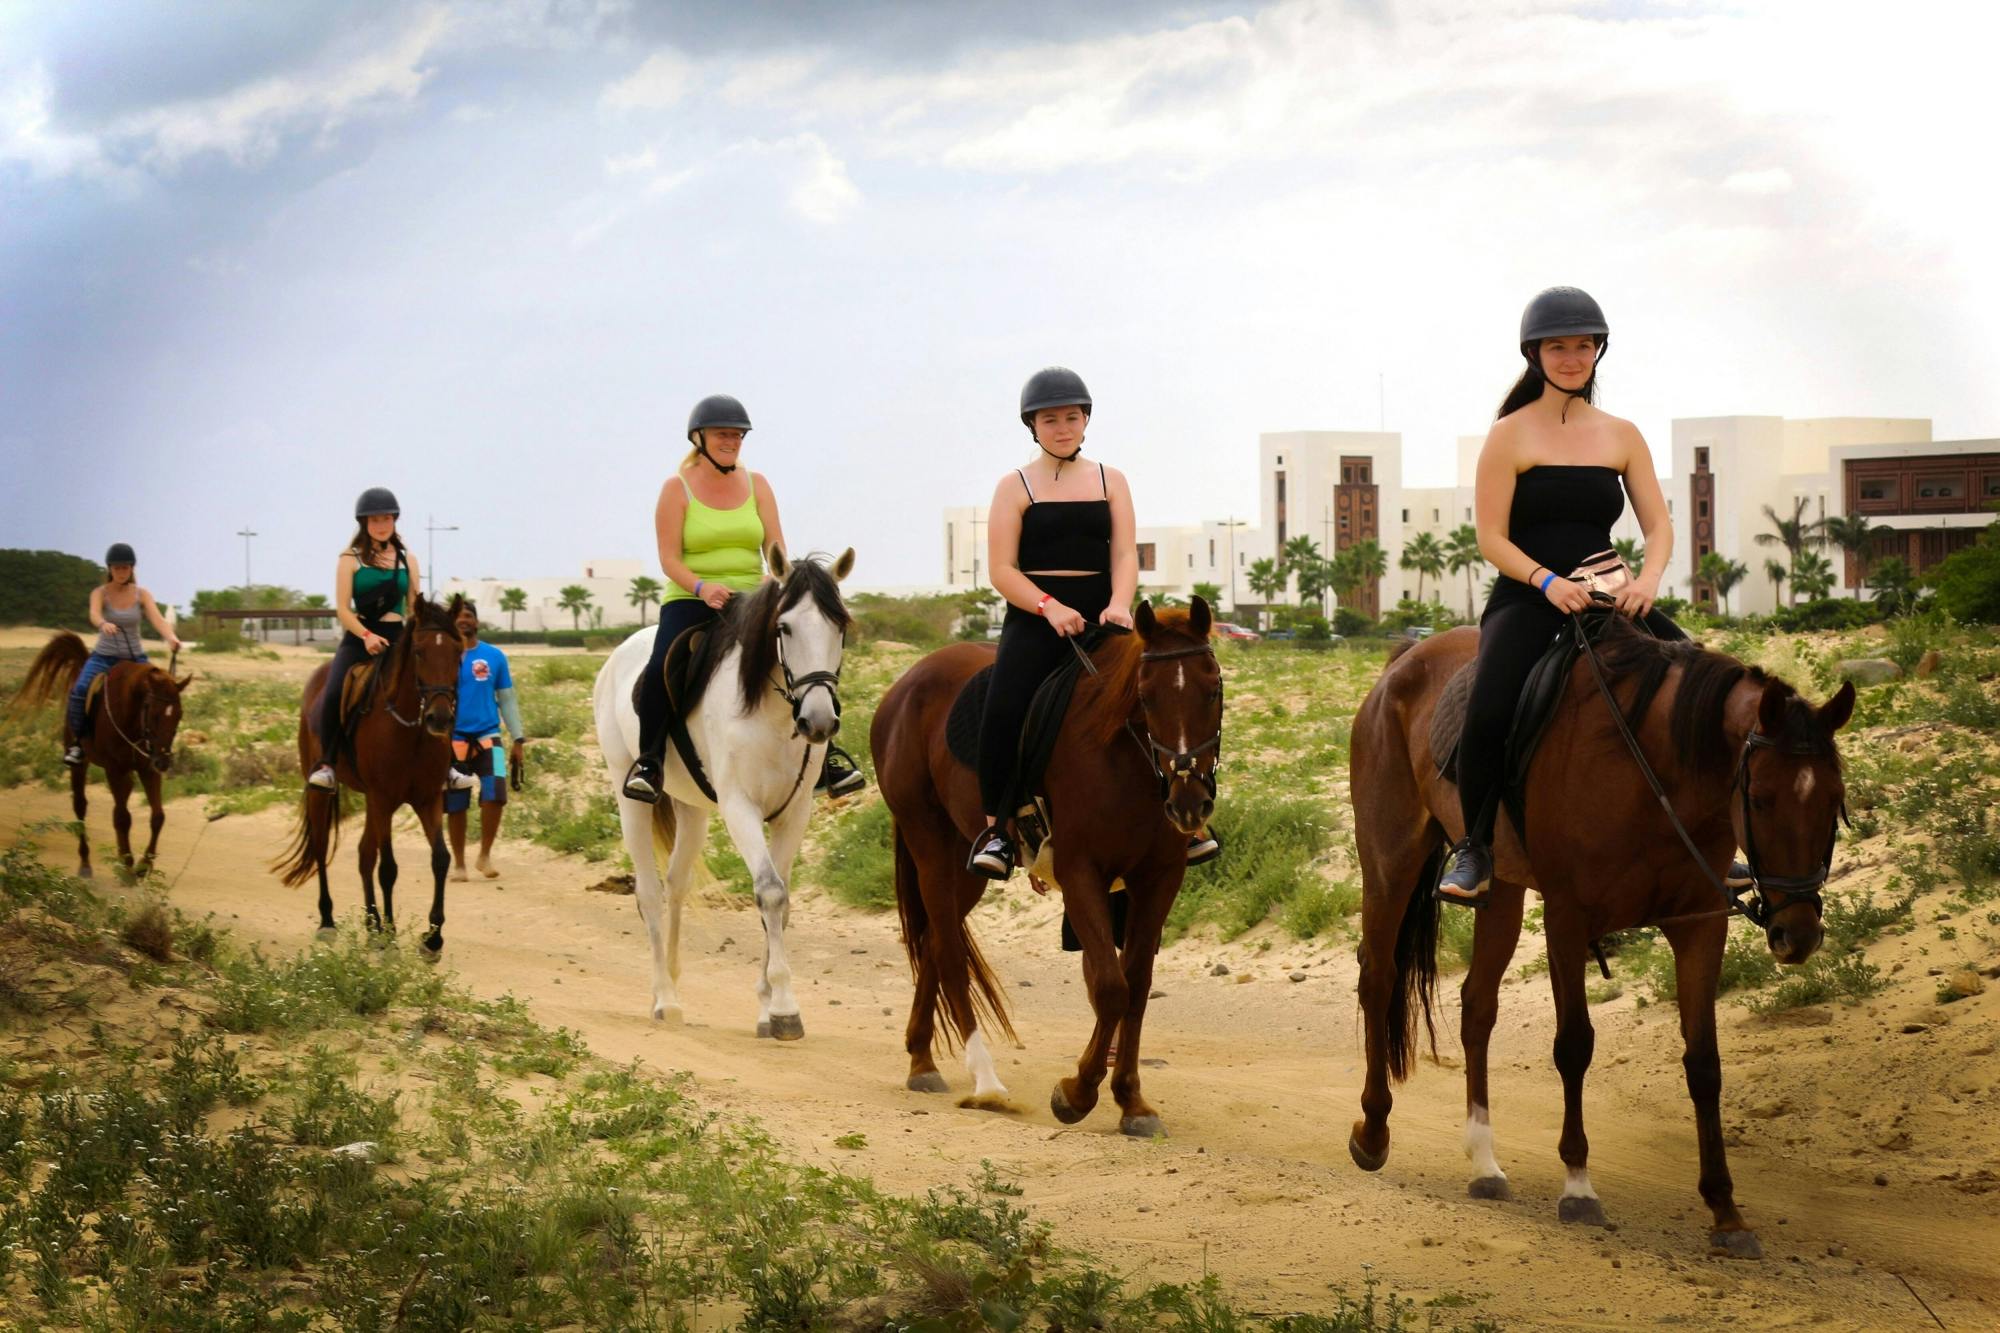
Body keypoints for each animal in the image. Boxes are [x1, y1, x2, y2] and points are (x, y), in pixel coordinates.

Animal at [10, 632, 193, 872]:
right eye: (153, 713)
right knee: (81, 806)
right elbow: (123, 818)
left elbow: (157, 816)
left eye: (179, 714)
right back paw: (86, 863)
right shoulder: (114, 769)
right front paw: (128, 867)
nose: (163, 762)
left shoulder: (147, 769)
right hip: (81, 765)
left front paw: (143, 865)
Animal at [274, 592, 464, 956]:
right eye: (419, 652)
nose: (439, 719)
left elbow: (440, 859)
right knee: (322, 848)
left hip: (375, 805)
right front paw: (391, 937)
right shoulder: (383, 798)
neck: (410, 730)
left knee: (364, 854)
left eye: (458, 653)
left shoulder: (427, 799)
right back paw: (329, 921)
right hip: (327, 792)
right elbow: (388, 868)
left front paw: (432, 938)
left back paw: (371, 925)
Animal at [584, 544, 852, 1032]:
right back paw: (664, 999)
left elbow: (782, 899)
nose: (819, 722)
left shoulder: (795, 811)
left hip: (691, 809)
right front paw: (784, 1008)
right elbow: (770, 891)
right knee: (648, 892)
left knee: (676, 884)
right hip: (628, 793)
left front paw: (768, 1006)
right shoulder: (739, 807)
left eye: (839, 626)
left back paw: (673, 982)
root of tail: (619, 654)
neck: (770, 713)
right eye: (784, 627)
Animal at [872, 596, 1216, 1128]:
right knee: (947, 950)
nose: (1189, 803)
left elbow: (1137, 986)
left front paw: (1131, 1100)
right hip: (928, 841)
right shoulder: (1081, 873)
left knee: (934, 940)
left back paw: (922, 1060)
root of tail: (906, 682)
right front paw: (1077, 1093)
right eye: (1146, 695)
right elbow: (1111, 987)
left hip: (964, 862)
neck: (1125, 758)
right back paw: (986, 1082)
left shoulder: (1159, 878)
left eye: (1214, 688)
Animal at [1344, 616, 1856, 1256]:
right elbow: (1574, 1046)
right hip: (1391, 858)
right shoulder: (1568, 919)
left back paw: (1484, 1164)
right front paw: (1579, 1188)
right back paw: (1372, 1131)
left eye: (1835, 800)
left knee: (1477, 1007)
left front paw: (1726, 1211)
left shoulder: (1699, 925)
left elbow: (1704, 1063)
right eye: (1759, 800)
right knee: (1378, 978)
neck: (1655, 771)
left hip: (1501, 889)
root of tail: (1401, 663)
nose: (1797, 933)